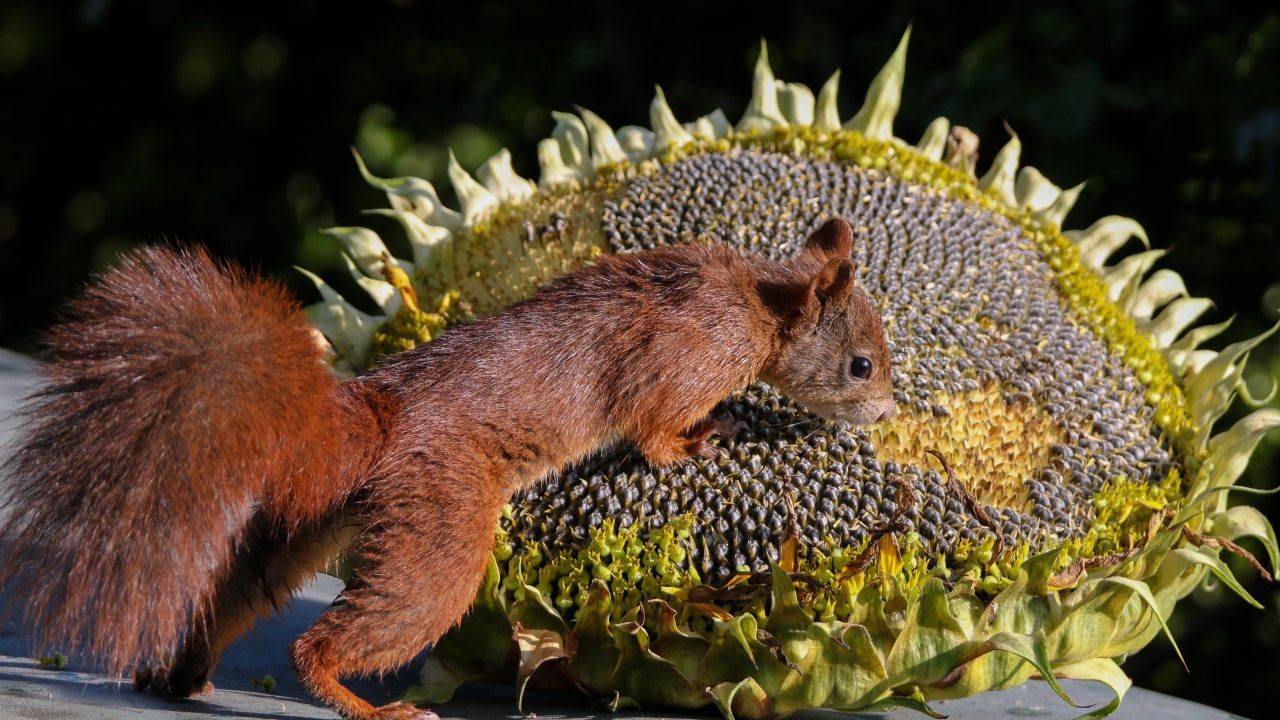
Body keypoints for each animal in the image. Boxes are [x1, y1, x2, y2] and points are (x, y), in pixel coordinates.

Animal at [0, 215, 896, 712]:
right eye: (861, 365)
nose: (887, 412)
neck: (756, 305)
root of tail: (378, 418)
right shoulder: (678, 363)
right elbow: (651, 431)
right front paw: (707, 438)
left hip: (314, 527)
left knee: (239, 594)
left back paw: (183, 673)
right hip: (442, 526)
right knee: (328, 639)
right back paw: (363, 706)